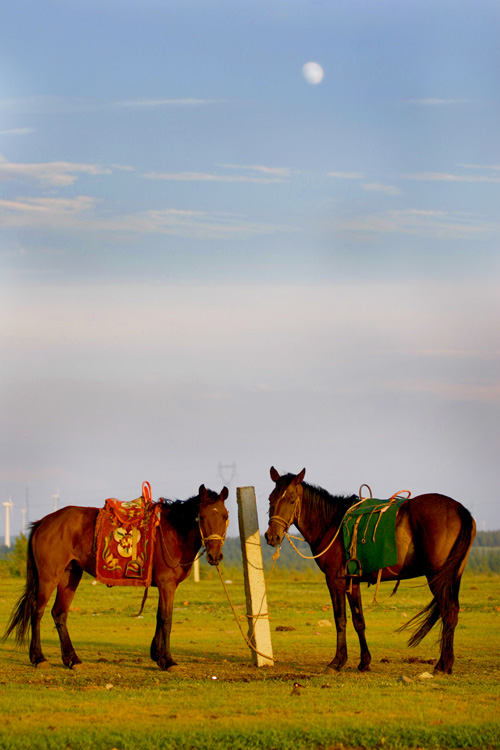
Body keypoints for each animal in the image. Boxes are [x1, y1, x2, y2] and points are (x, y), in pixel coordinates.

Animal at [3, 484, 229, 672]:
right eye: (202, 516)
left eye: (225, 516)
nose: (215, 556)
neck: (172, 532)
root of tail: (44, 521)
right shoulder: (167, 585)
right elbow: (166, 619)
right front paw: (168, 661)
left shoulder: (164, 586)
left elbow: (159, 617)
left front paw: (157, 655)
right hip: (49, 577)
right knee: (37, 611)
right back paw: (39, 658)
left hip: (69, 577)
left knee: (59, 614)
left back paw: (72, 659)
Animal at [264, 470, 474, 676]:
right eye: (271, 498)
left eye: (291, 500)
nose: (272, 536)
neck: (331, 525)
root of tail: (459, 509)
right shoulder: (352, 581)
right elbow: (359, 621)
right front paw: (364, 662)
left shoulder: (335, 580)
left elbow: (340, 619)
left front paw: (337, 661)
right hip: (453, 577)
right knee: (453, 612)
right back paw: (445, 664)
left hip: (438, 578)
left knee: (448, 612)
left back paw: (442, 665)